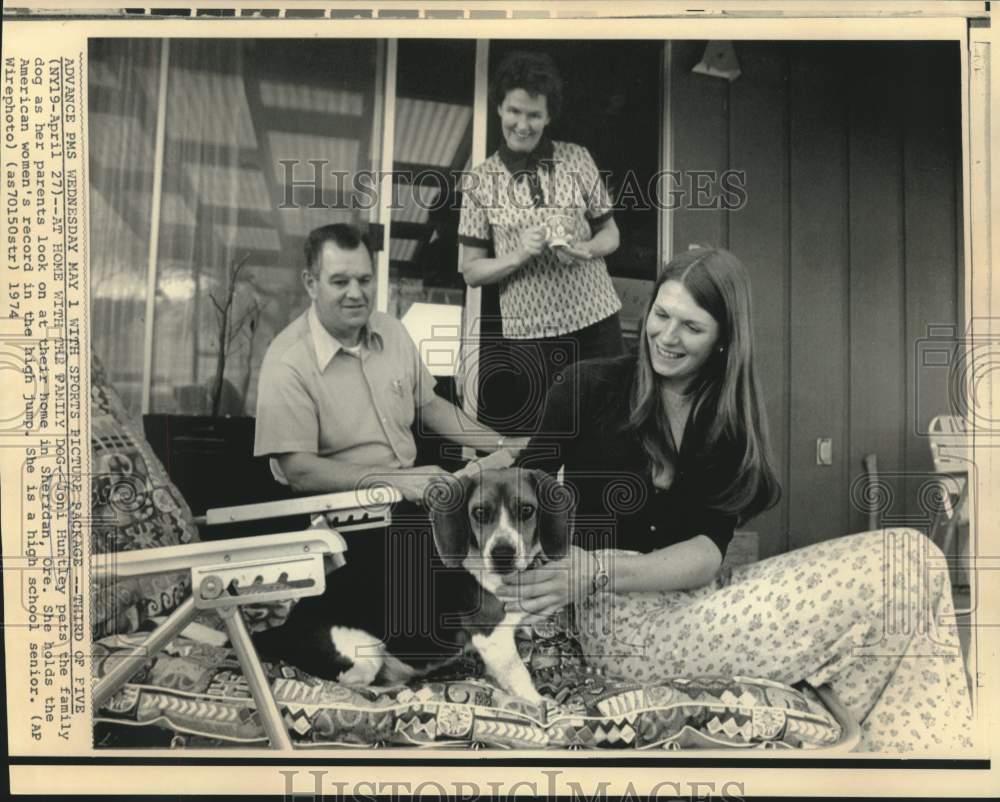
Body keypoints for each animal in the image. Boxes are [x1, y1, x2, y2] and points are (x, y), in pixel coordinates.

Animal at [254, 466, 576, 704]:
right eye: (479, 513)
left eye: (526, 510)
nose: (503, 554)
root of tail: (284, 629)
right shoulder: (493, 636)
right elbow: (518, 673)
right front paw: (538, 703)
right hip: (365, 651)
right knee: (351, 684)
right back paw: (384, 690)